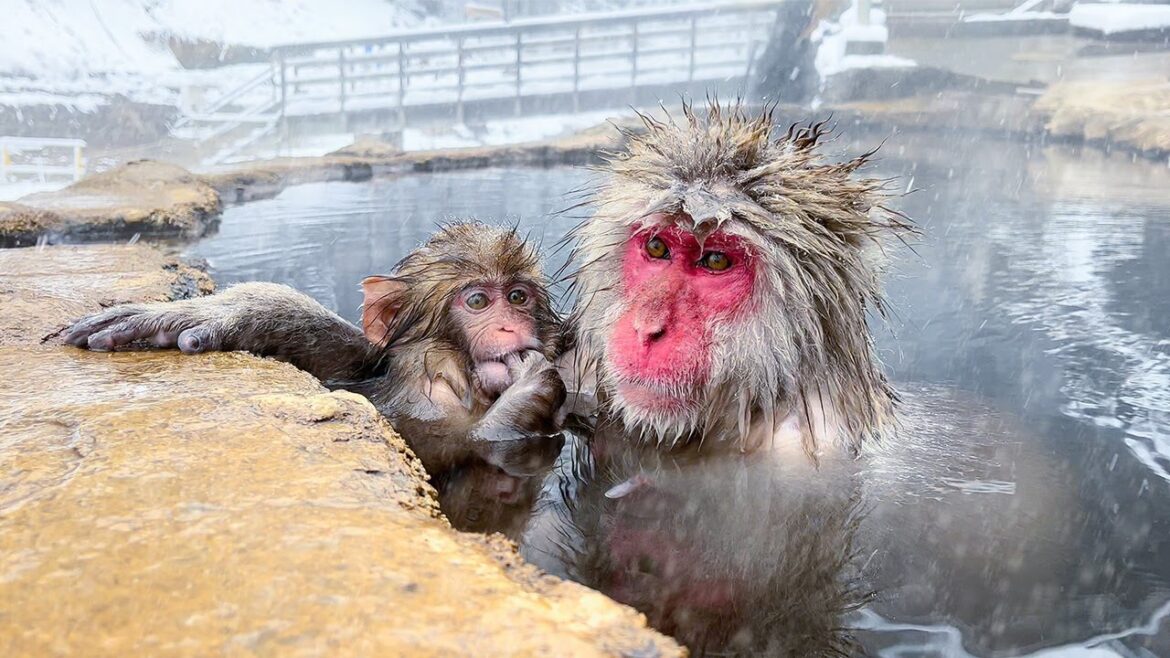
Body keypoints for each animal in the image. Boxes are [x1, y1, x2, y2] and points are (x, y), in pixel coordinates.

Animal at [64, 222, 567, 536]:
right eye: (478, 301)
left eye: (518, 297)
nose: (511, 328)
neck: (453, 377)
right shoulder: (427, 410)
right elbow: (476, 443)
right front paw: (531, 389)